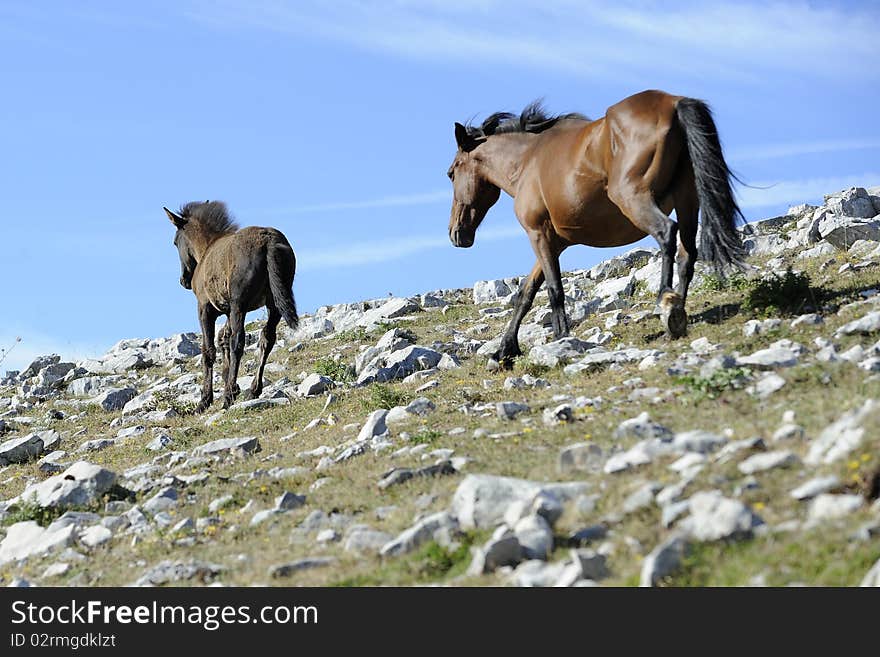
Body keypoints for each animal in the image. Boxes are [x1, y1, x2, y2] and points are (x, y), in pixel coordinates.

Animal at [164, 202, 300, 412]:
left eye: (175, 242)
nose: (184, 280)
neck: (207, 248)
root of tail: (268, 241)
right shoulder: (228, 311)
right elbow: (223, 340)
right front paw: (232, 385)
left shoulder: (206, 309)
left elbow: (209, 350)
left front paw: (206, 400)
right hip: (273, 304)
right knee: (266, 338)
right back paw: (253, 389)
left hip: (239, 306)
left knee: (239, 342)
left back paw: (228, 397)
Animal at [450, 88, 744, 364]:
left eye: (451, 173)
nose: (456, 233)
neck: (527, 161)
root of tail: (673, 102)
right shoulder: (555, 242)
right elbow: (526, 292)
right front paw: (504, 351)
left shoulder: (538, 233)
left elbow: (554, 289)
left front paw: (561, 338)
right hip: (687, 201)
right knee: (687, 255)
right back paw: (677, 315)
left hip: (633, 197)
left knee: (666, 233)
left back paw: (666, 303)